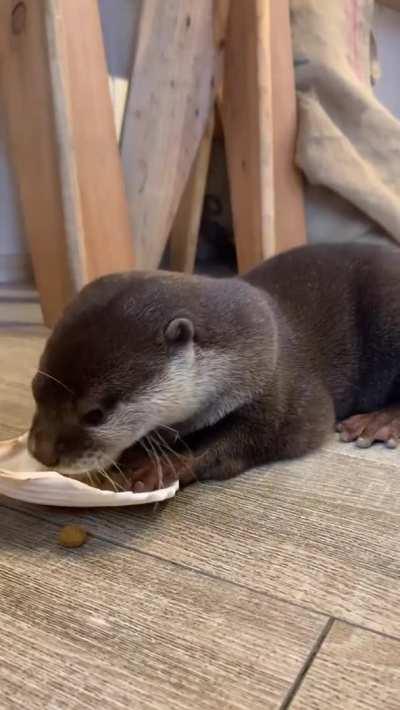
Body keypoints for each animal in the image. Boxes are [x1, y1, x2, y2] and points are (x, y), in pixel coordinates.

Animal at [28, 242, 400, 491]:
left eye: (95, 414)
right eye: (35, 391)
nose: (40, 452)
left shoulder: (285, 395)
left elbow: (244, 441)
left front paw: (165, 463)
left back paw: (379, 422)